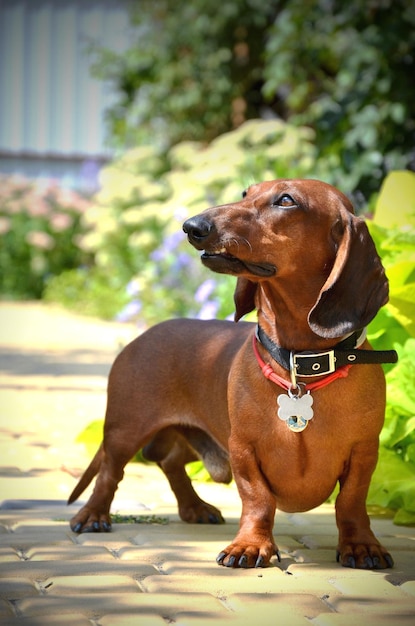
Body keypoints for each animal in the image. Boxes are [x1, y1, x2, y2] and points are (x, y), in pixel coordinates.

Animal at [68, 178, 396, 568]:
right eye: (245, 193)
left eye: (287, 200)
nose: (192, 226)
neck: (300, 366)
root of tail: (144, 334)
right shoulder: (242, 450)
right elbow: (257, 499)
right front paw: (250, 545)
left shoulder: (364, 452)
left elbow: (351, 502)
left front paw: (361, 544)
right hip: (125, 429)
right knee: (110, 472)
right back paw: (92, 515)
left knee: (170, 462)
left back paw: (195, 507)